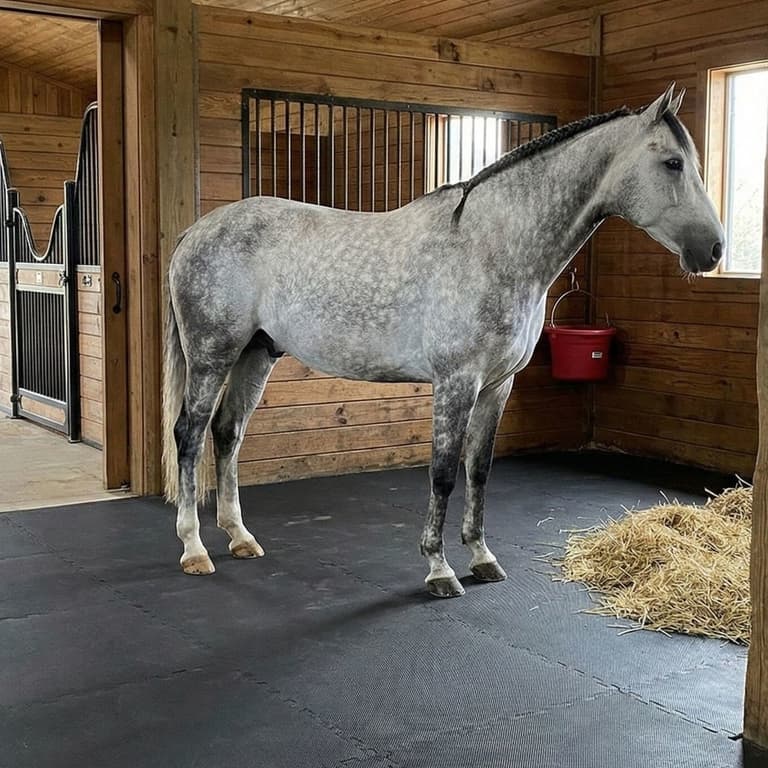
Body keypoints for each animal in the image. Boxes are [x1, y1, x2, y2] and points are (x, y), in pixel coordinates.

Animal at [163, 84, 724, 597]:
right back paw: (193, 549)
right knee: (189, 435)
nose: (714, 249)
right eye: (673, 163)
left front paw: (481, 557)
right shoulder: (457, 381)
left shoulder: (497, 385)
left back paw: (239, 537)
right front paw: (439, 569)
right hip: (212, 354)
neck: (493, 248)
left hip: (256, 353)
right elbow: (443, 474)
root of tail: (196, 232)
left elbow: (479, 471)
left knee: (227, 432)